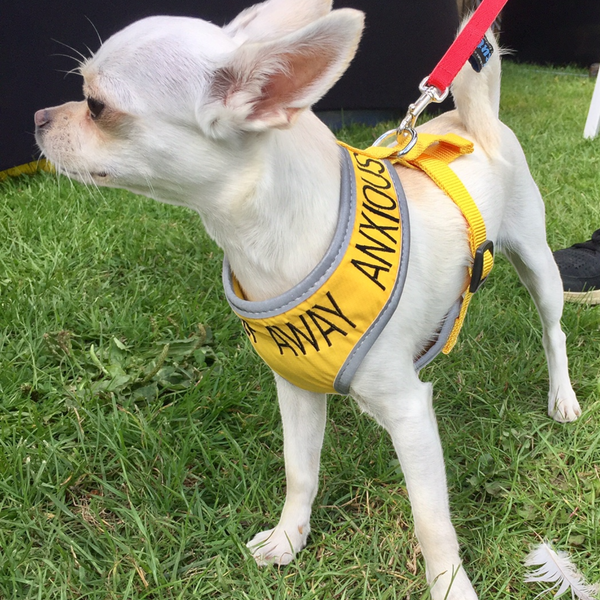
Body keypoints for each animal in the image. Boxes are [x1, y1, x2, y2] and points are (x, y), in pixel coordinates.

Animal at [36, 1, 580, 600]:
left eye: (96, 107)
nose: (38, 117)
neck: (267, 245)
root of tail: (476, 122)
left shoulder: (410, 413)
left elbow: (430, 518)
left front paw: (449, 586)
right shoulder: (295, 390)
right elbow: (301, 471)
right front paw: (288, 538)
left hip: (537, 263)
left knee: (553, 331)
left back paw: (562, 397)